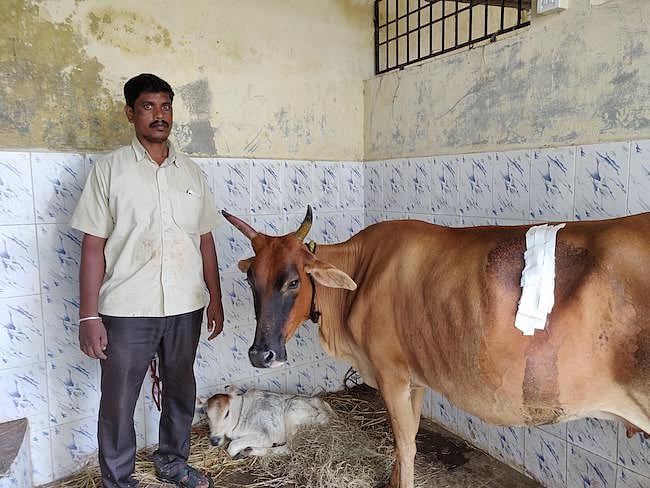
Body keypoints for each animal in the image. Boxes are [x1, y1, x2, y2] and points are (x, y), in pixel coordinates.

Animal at [199, 387, 332, 459]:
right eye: (207, 415)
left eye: (227, 413)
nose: (214, 440)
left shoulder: (265, 435)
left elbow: (231, 447)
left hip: (291, 413)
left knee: (289, 447)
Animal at [221, 206, 650, 488]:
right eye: (251, 280)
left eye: (294, 281)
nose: (260, 354)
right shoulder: (415, 379)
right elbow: (406, 439)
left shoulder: (391, 374)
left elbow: (406, 444)